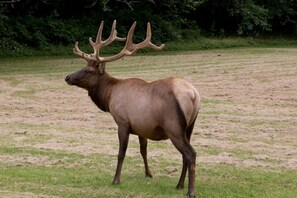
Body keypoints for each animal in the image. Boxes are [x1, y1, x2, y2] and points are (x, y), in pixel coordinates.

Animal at [64, 19, 199, 196]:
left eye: (88, 70)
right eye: (82, 67)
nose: (67, 77)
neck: (110, 96)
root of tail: (193, 95)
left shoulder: (122, 122)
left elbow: (121, 153)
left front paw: (115, 180)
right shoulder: (142, 127)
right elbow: (143, 150)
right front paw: (148, 174)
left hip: (174, 126)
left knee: (190, 153)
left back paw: (190, 191)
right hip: (190, 126)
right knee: (185, 154)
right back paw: (179, 185)